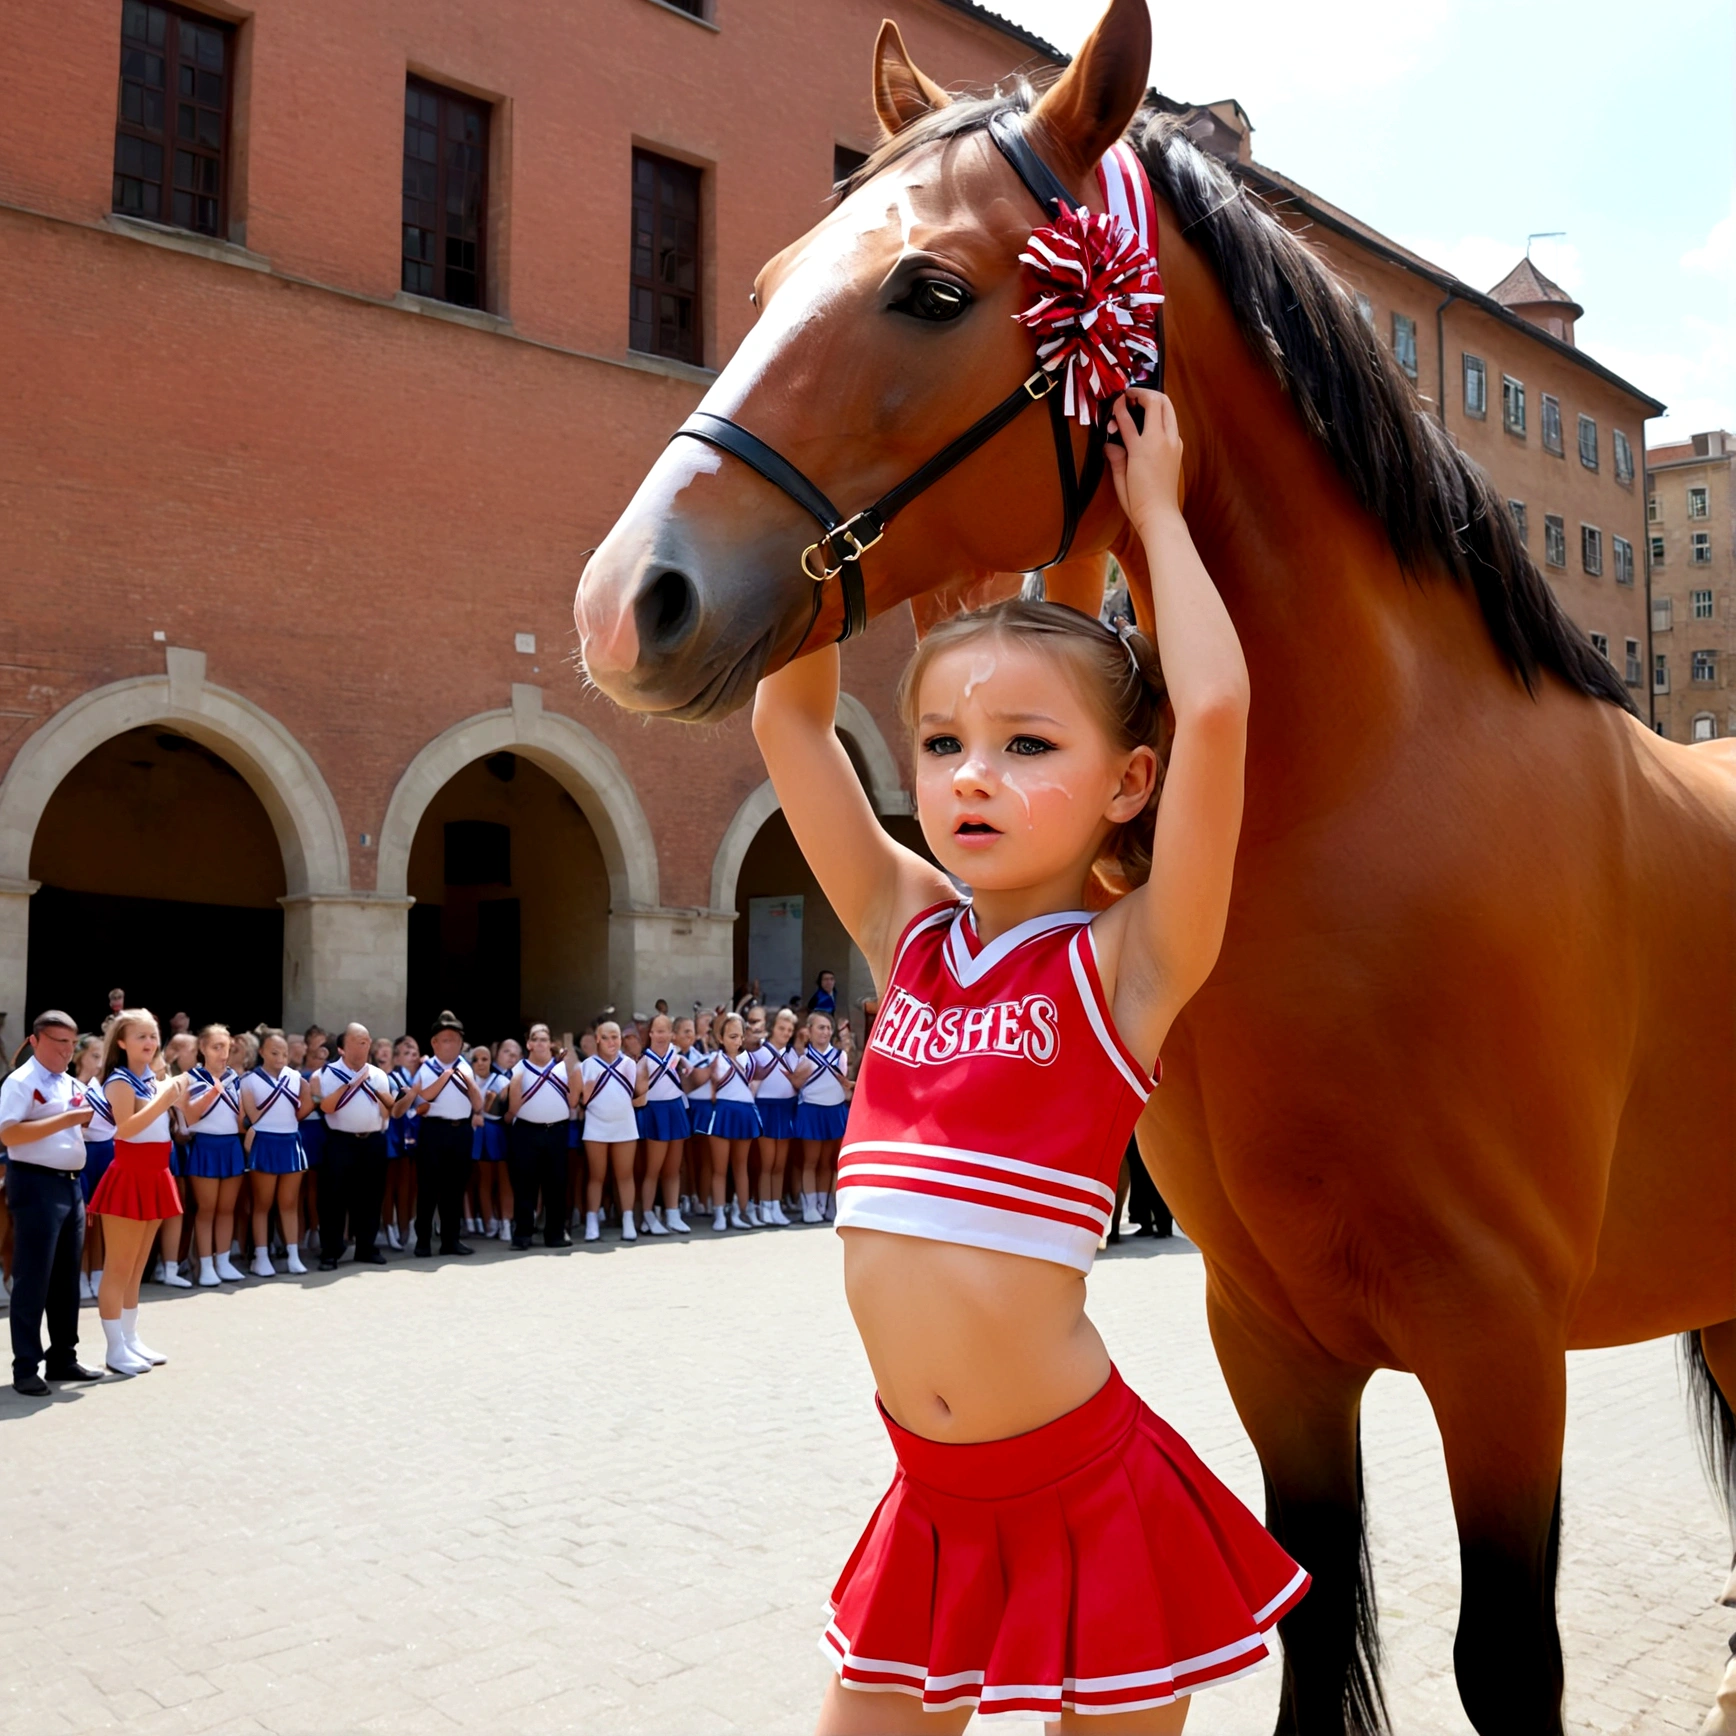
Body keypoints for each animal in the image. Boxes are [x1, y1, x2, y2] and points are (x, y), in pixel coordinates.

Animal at [579, 6, 1736, 1729]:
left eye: (931, 289)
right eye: (771, 273)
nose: (627, 601)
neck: (1369, 799)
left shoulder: (1502, 1343)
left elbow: (1504, 1660)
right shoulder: (1269, 1332)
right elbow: (1314, 1616)